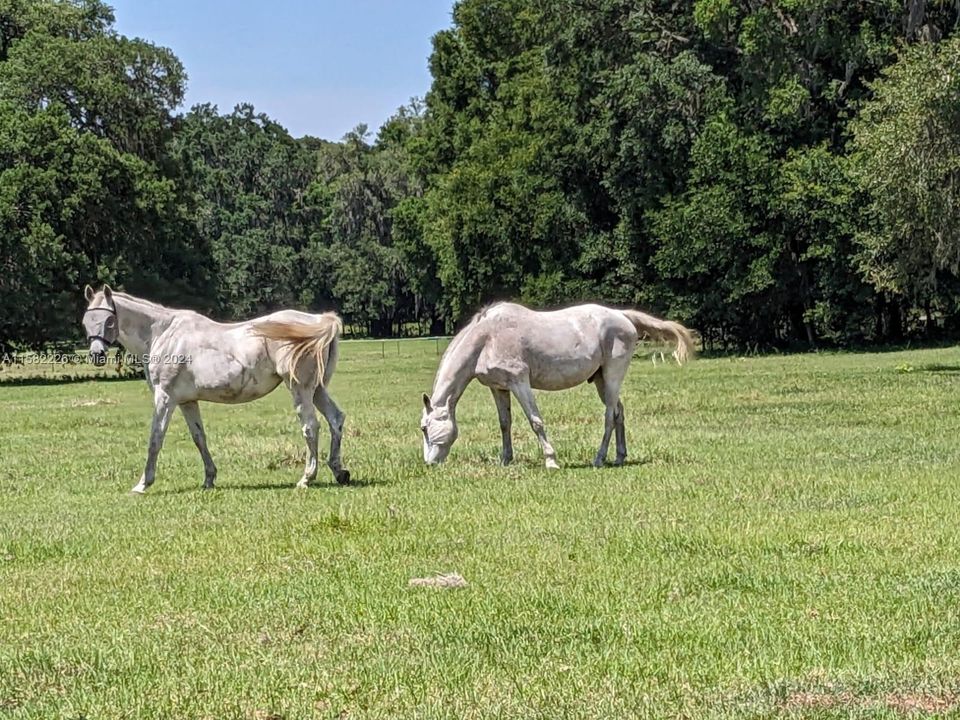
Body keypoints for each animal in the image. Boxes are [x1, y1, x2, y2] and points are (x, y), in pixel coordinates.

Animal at [82, 284, 350, 492]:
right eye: (87, 321)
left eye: (109, 320)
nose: (97, 354)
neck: (164, 333)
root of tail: (318, 320)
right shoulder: (186, 401)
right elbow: (199, 437)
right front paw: (209, 479)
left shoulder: (165, 398)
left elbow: (155, 438)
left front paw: (143, 484)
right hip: (317, 389)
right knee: (335, 419)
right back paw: (339, 472)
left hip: (300, 388)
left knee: (310, 427)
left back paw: (306, 478)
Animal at [420, 302, 688, 466]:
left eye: (424, 428)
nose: (430, 463)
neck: (487, 338)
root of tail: (622, 316)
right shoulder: (499, 387)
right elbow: (505, 423)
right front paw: (506, 460)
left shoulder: (519, 382)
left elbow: (535, 421)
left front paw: (551, 460)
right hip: (601, 380)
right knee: (619, 413)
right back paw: (619, 457)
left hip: (613, 376)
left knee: (609, 417)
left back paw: (599, 458)